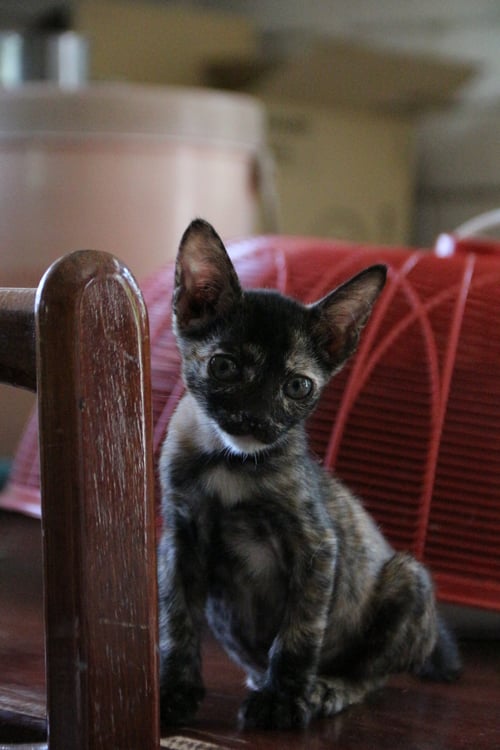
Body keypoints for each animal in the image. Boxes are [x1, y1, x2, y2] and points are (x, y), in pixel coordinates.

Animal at [157, 219, 461, 731]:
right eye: (224, 366)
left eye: (298, 386)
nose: (256, 419)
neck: (230, 463)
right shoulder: (181, 541)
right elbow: (176, 622)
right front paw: (174, 694)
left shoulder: (317, 547)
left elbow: (299, 632)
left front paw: (282, 701)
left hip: (408, 577)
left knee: (370, 676)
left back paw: (324, 690)